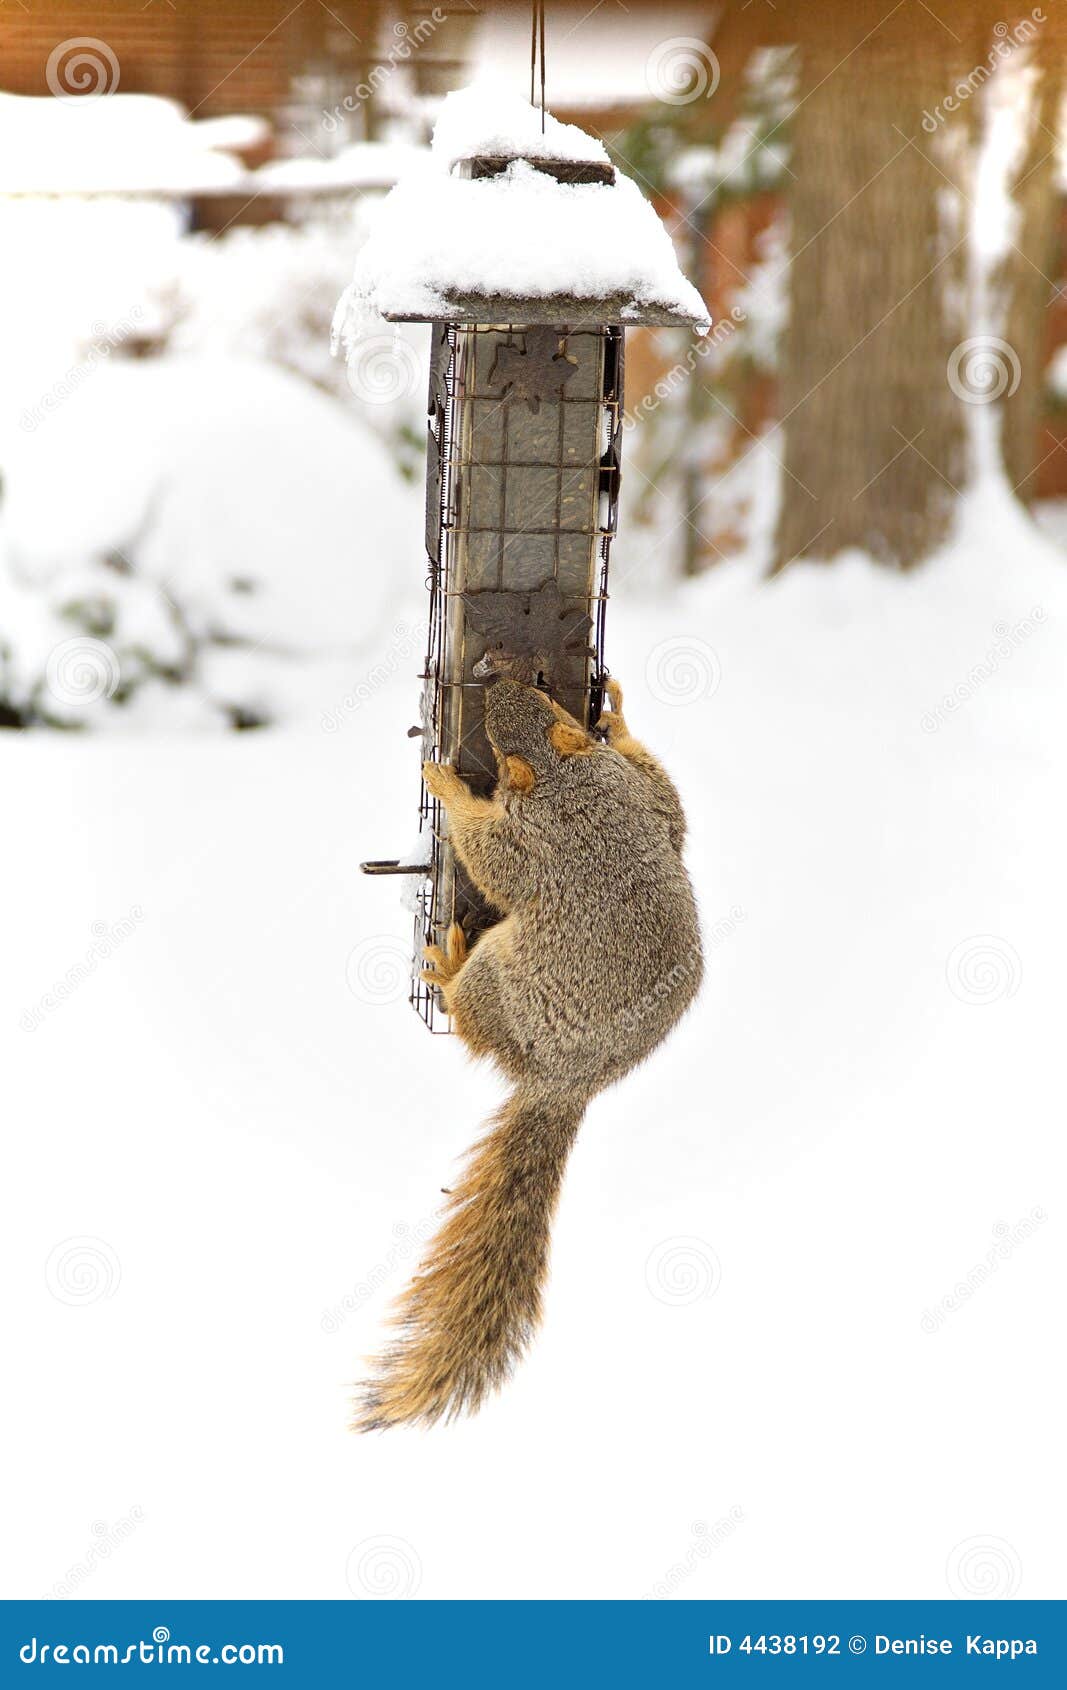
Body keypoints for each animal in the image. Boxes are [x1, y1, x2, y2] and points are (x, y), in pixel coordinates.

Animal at [357, 677, 703, 1431]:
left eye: (501, 725)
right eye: (543, 697)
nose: (492, 674)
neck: (563, 772)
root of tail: (569, 1080)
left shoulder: (533, 836)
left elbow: (491, 855)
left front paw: (448, 788)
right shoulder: (637, 793)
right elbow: (668, 803)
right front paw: (619, 720)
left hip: (501, 979)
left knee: (474, 1014)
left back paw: (447, 969)